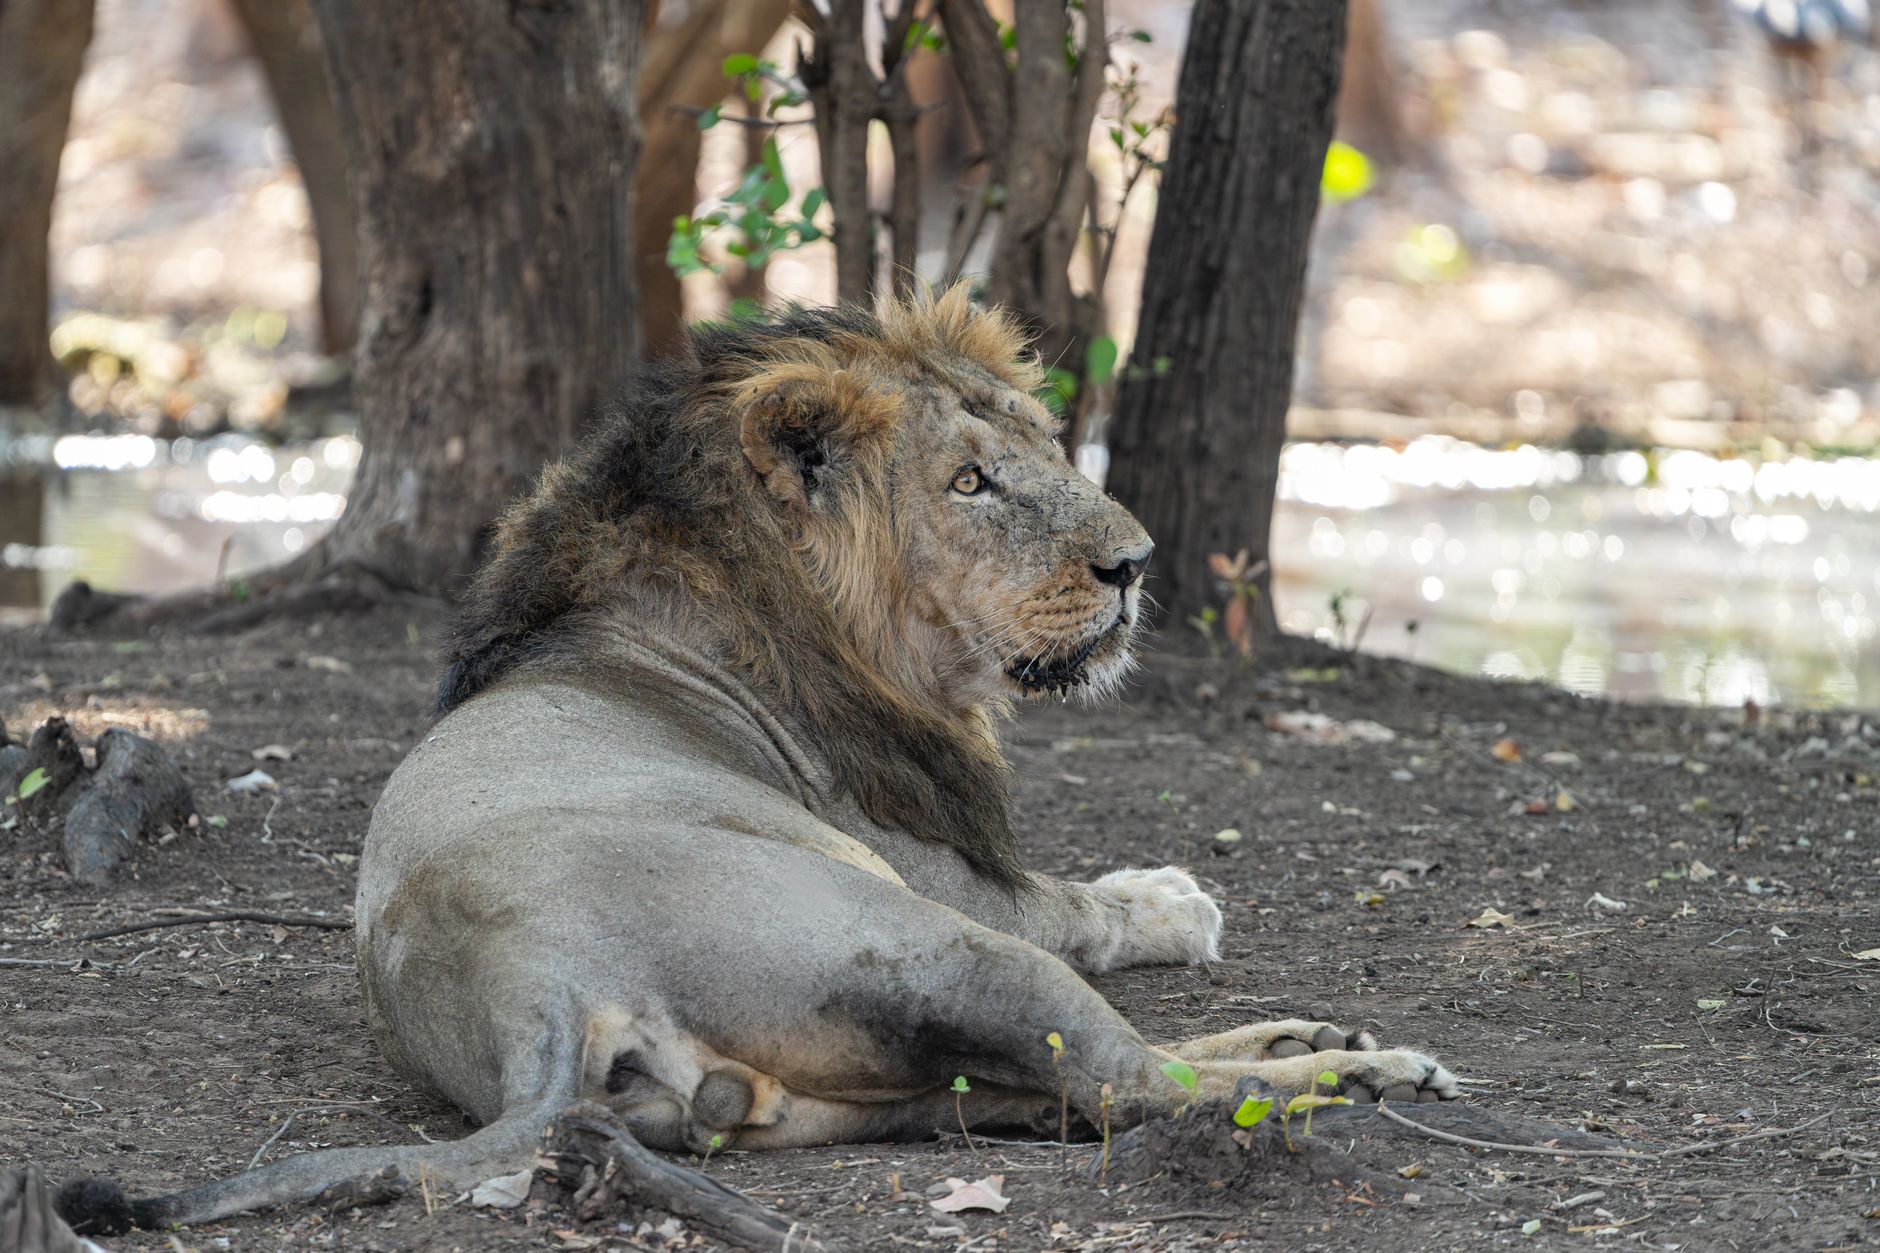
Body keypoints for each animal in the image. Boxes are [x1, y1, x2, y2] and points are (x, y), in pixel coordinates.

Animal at [57, 287, 1457, 1235]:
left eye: (1046, 450)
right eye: (969, 482)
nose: (1133, 562)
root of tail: (532, 986)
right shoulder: (944, 872)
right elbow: (1083, 905)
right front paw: (1172, 897)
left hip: (861, 1083)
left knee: (1068, 1087)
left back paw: (1309, 1038)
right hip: (922, 937)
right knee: (1129, 1081)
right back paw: (1353, 1070)